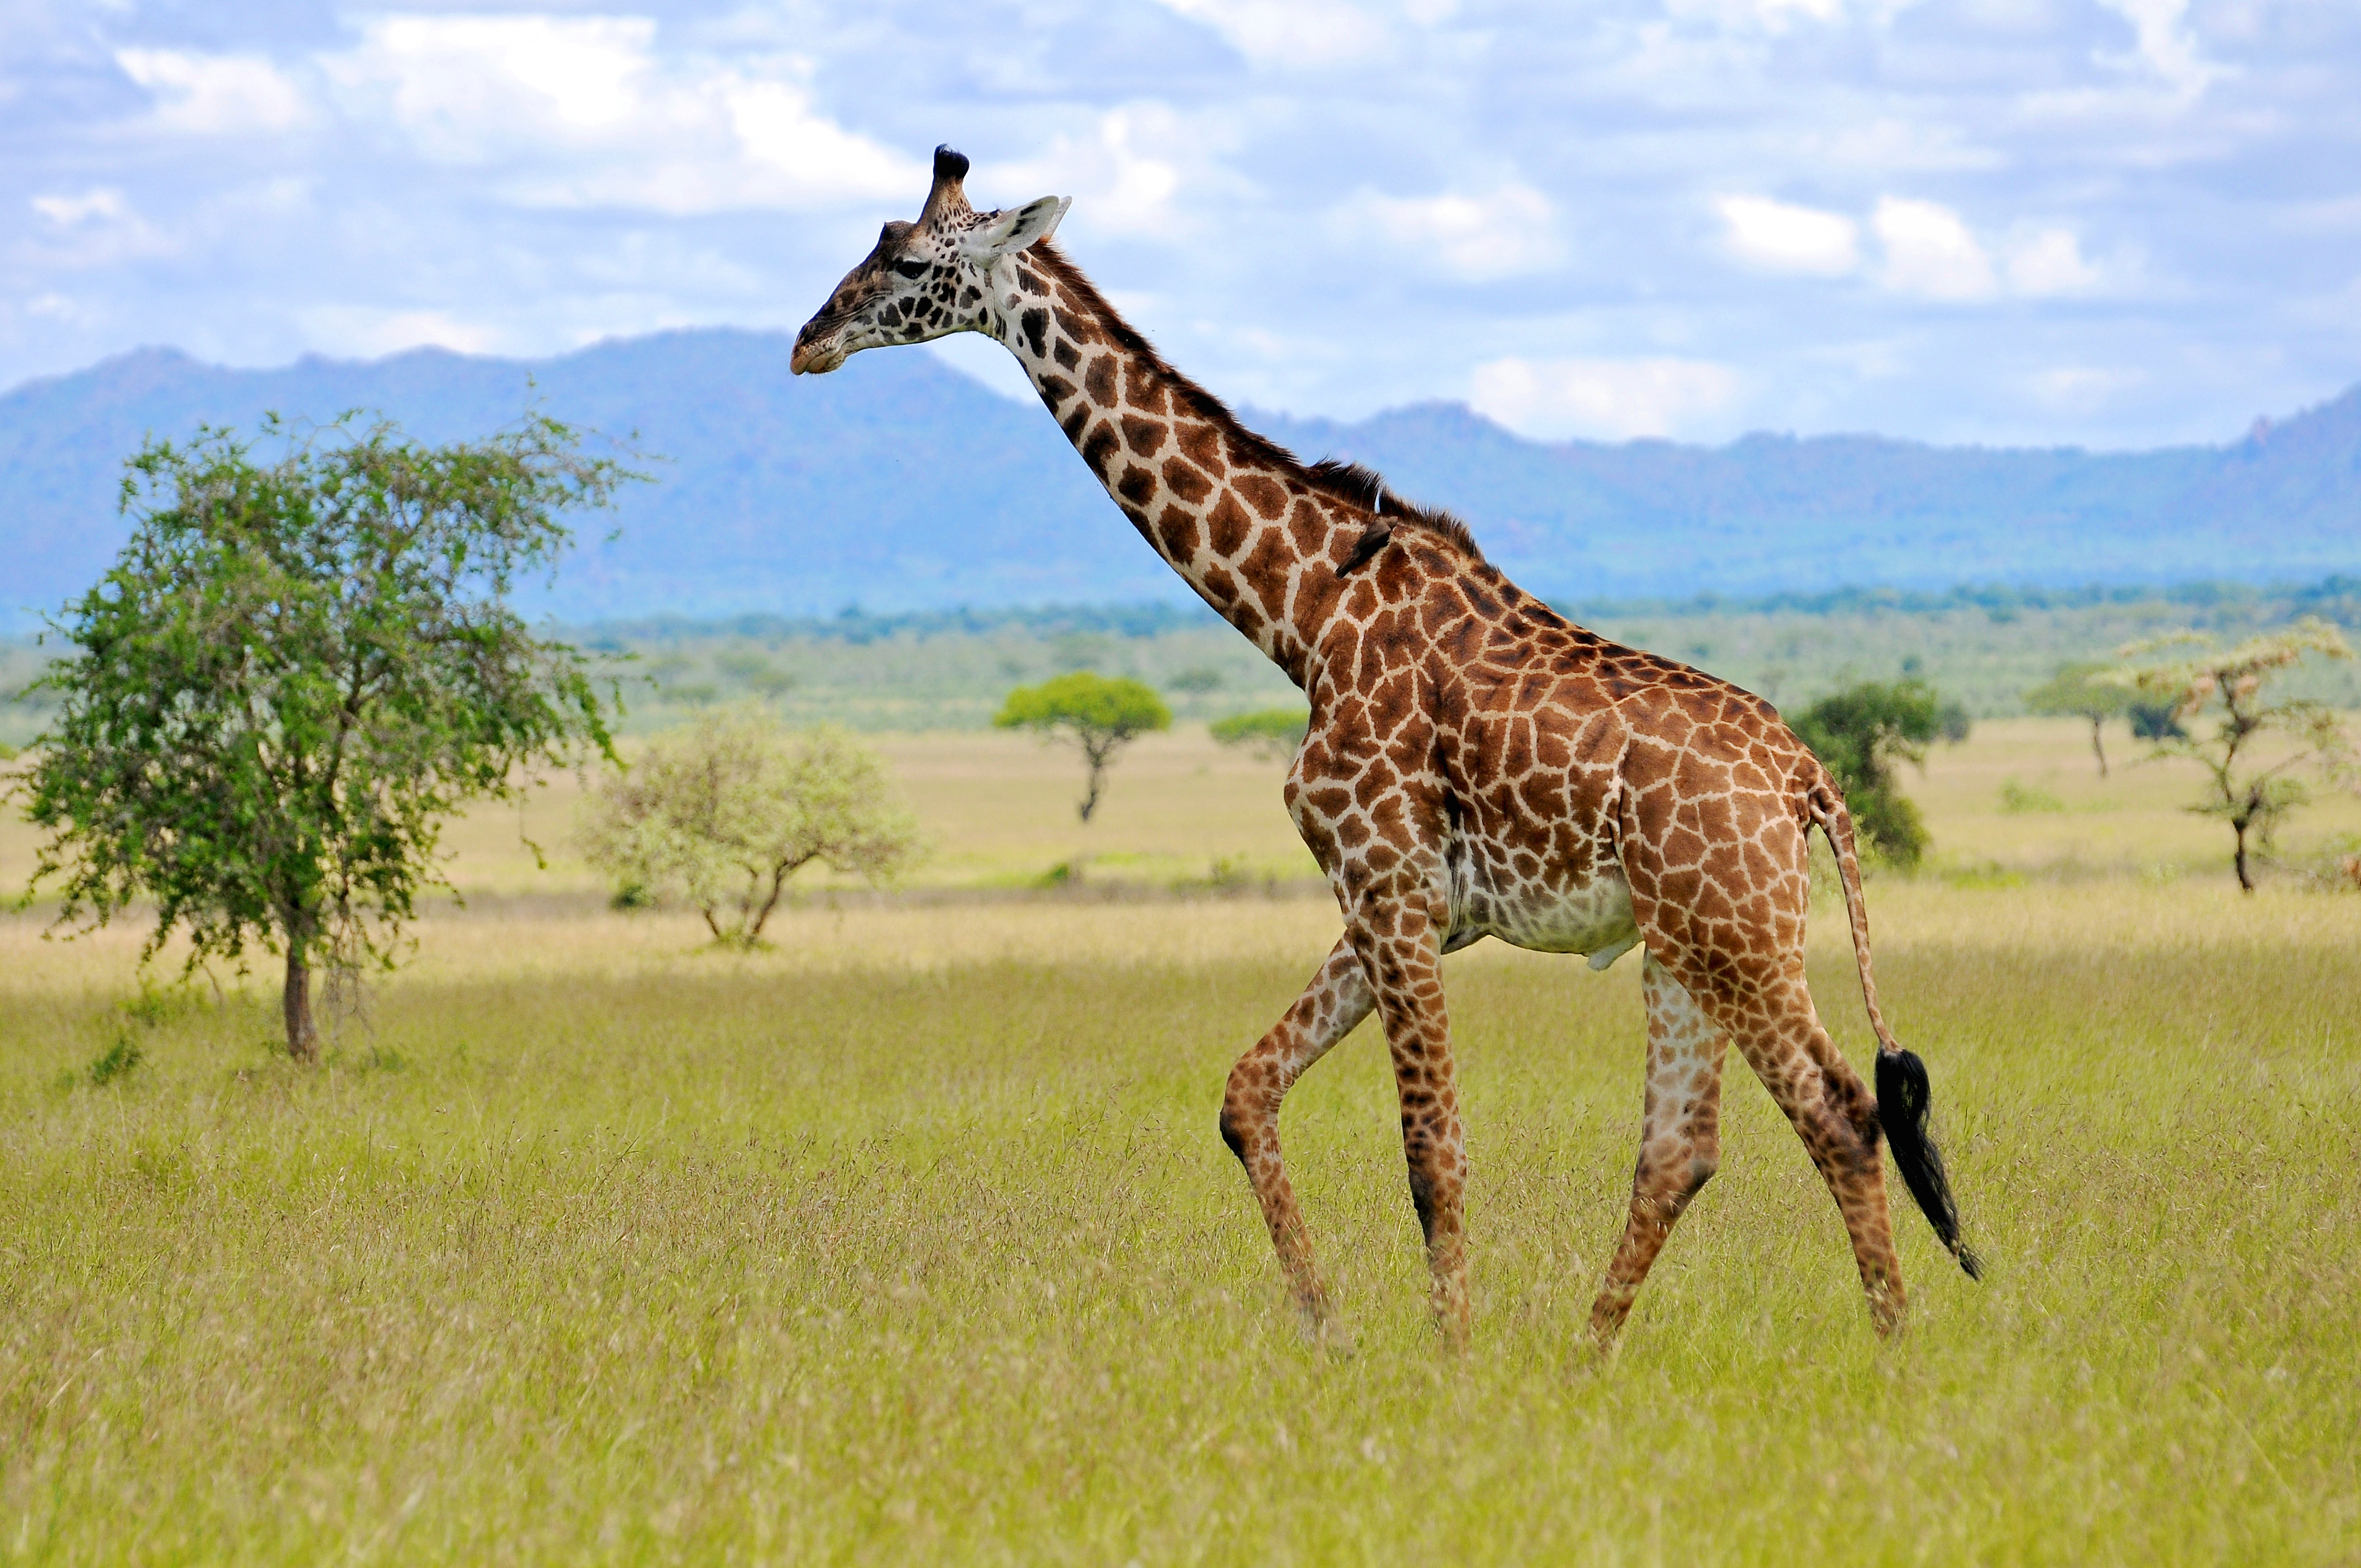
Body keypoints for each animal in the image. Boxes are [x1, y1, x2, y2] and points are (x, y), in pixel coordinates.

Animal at [793, 150, 1973, 1351]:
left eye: (905, 262)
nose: (808, 340)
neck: (1304, 612)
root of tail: (1808, 781)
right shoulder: (1404, 902)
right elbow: (1246, 1092)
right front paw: (1327, 1327)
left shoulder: (1388, 882)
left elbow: (1431, 1152)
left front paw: (1450, 1358)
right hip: (1681, 944)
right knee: (1679, 1149)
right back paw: (1581, 1359)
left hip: (1735, 934)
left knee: (1839, 1112)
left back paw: (1888, 1351)